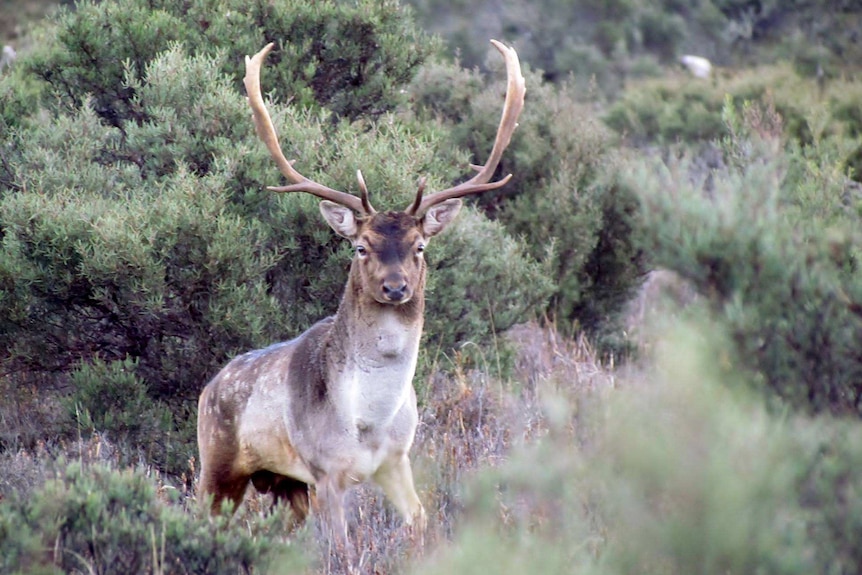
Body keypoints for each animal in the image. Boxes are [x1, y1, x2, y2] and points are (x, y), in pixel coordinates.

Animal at [197, 40, 528, 540]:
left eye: (420, 246)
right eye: (360, 246)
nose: (395, 286)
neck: (367, 422)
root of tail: (206, 389)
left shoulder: (397, 460)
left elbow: (421, 523)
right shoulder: (327, 470)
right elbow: (342, 546)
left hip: (282, 482)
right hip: (217, 464)